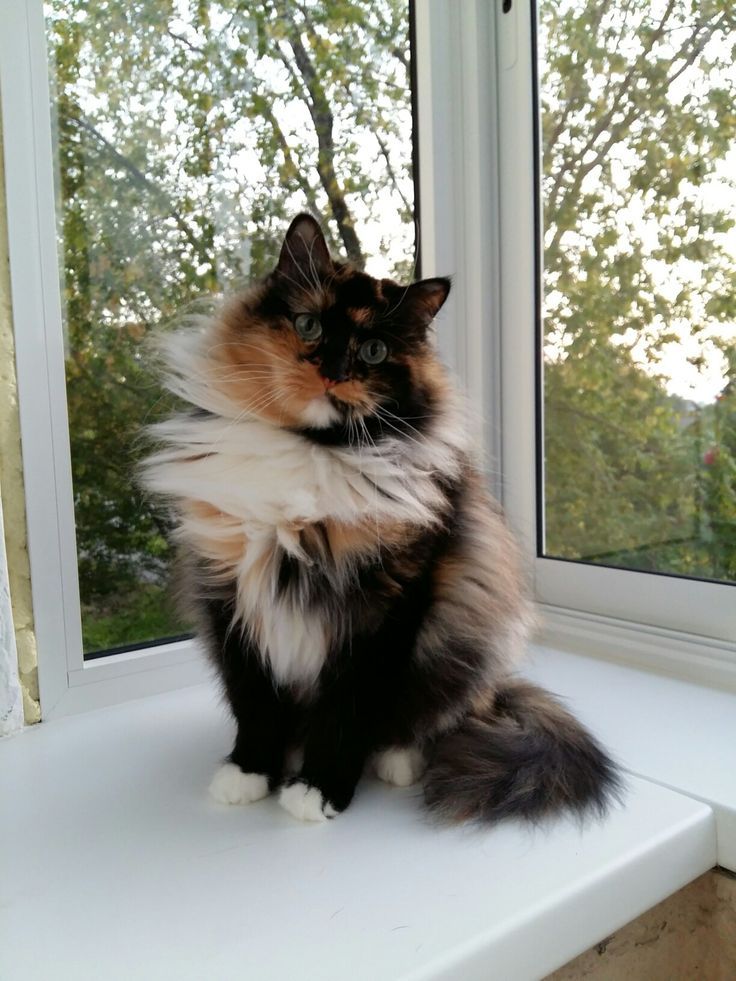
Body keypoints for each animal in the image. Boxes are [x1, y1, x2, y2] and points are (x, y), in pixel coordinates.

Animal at [139, 214, 620, 820]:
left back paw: (396, 762)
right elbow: (255, 703)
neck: (312, 452)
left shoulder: (385, 608)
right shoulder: (230, 597)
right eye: (308, 324)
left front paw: (319, 790)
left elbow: (347, 712)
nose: (331, 371)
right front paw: (249, 774)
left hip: (461, 643)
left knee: (427, 719)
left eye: (371, 350)